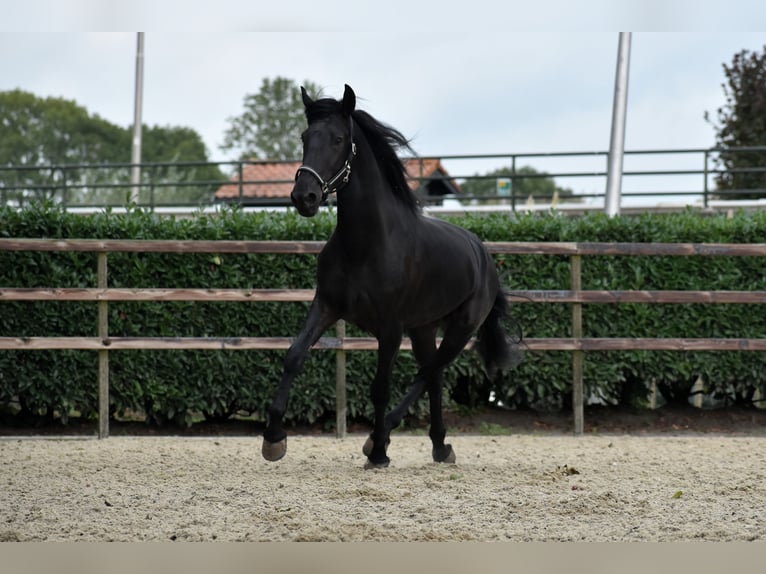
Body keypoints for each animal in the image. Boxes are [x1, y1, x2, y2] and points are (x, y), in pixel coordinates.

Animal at [262, 86, 520, 472]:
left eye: (338, 139)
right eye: (305, 137)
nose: (303, 196)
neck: (367, 244)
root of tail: (482, 253)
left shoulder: (390, 328)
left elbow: (380, 386)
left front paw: (379, 453)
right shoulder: (326, 306)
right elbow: (294, 356)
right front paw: (274, 439)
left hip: (461, 329)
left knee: (428, 373)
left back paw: (381, 439)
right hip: (424, 329)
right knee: (433, 376)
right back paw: (439, 446)